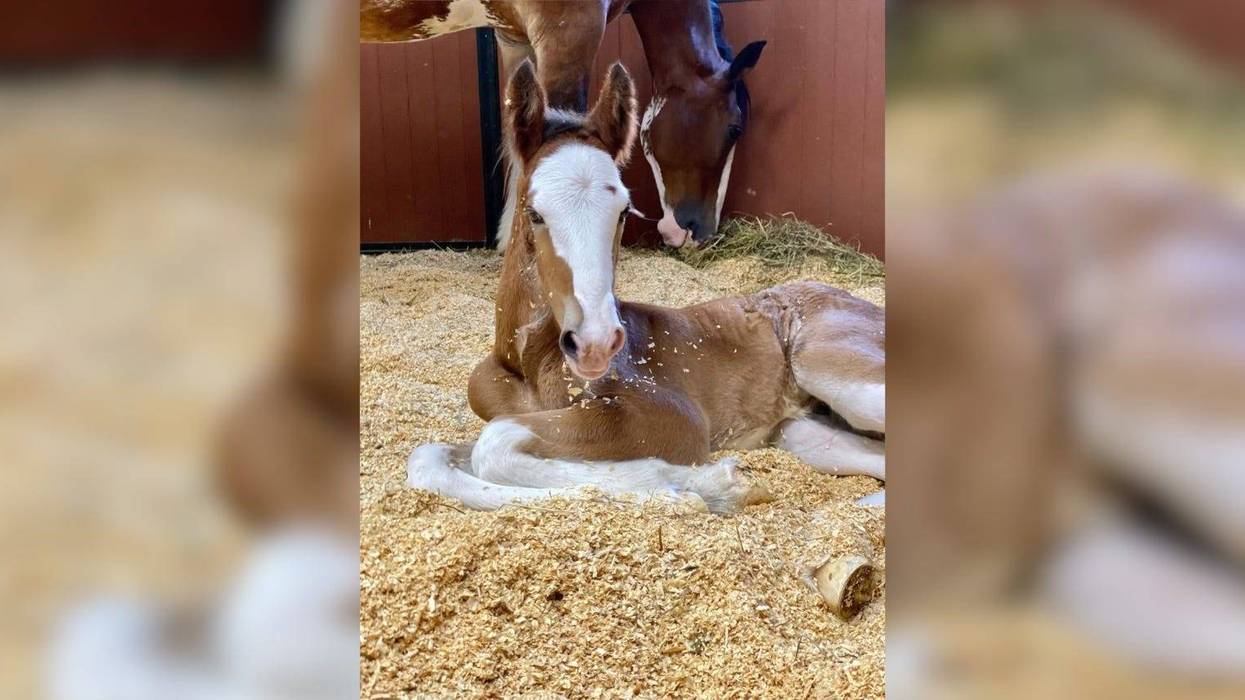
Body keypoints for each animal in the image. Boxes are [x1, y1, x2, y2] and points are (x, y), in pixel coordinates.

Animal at [405, 60, 885, 513]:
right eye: (535, 212)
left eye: (623, 211)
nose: (595, 343)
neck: (529, 361)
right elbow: (429, 458)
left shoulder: (669, 415)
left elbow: (495, 441)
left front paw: (705, 483)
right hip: (802, 432)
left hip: (833, 371)